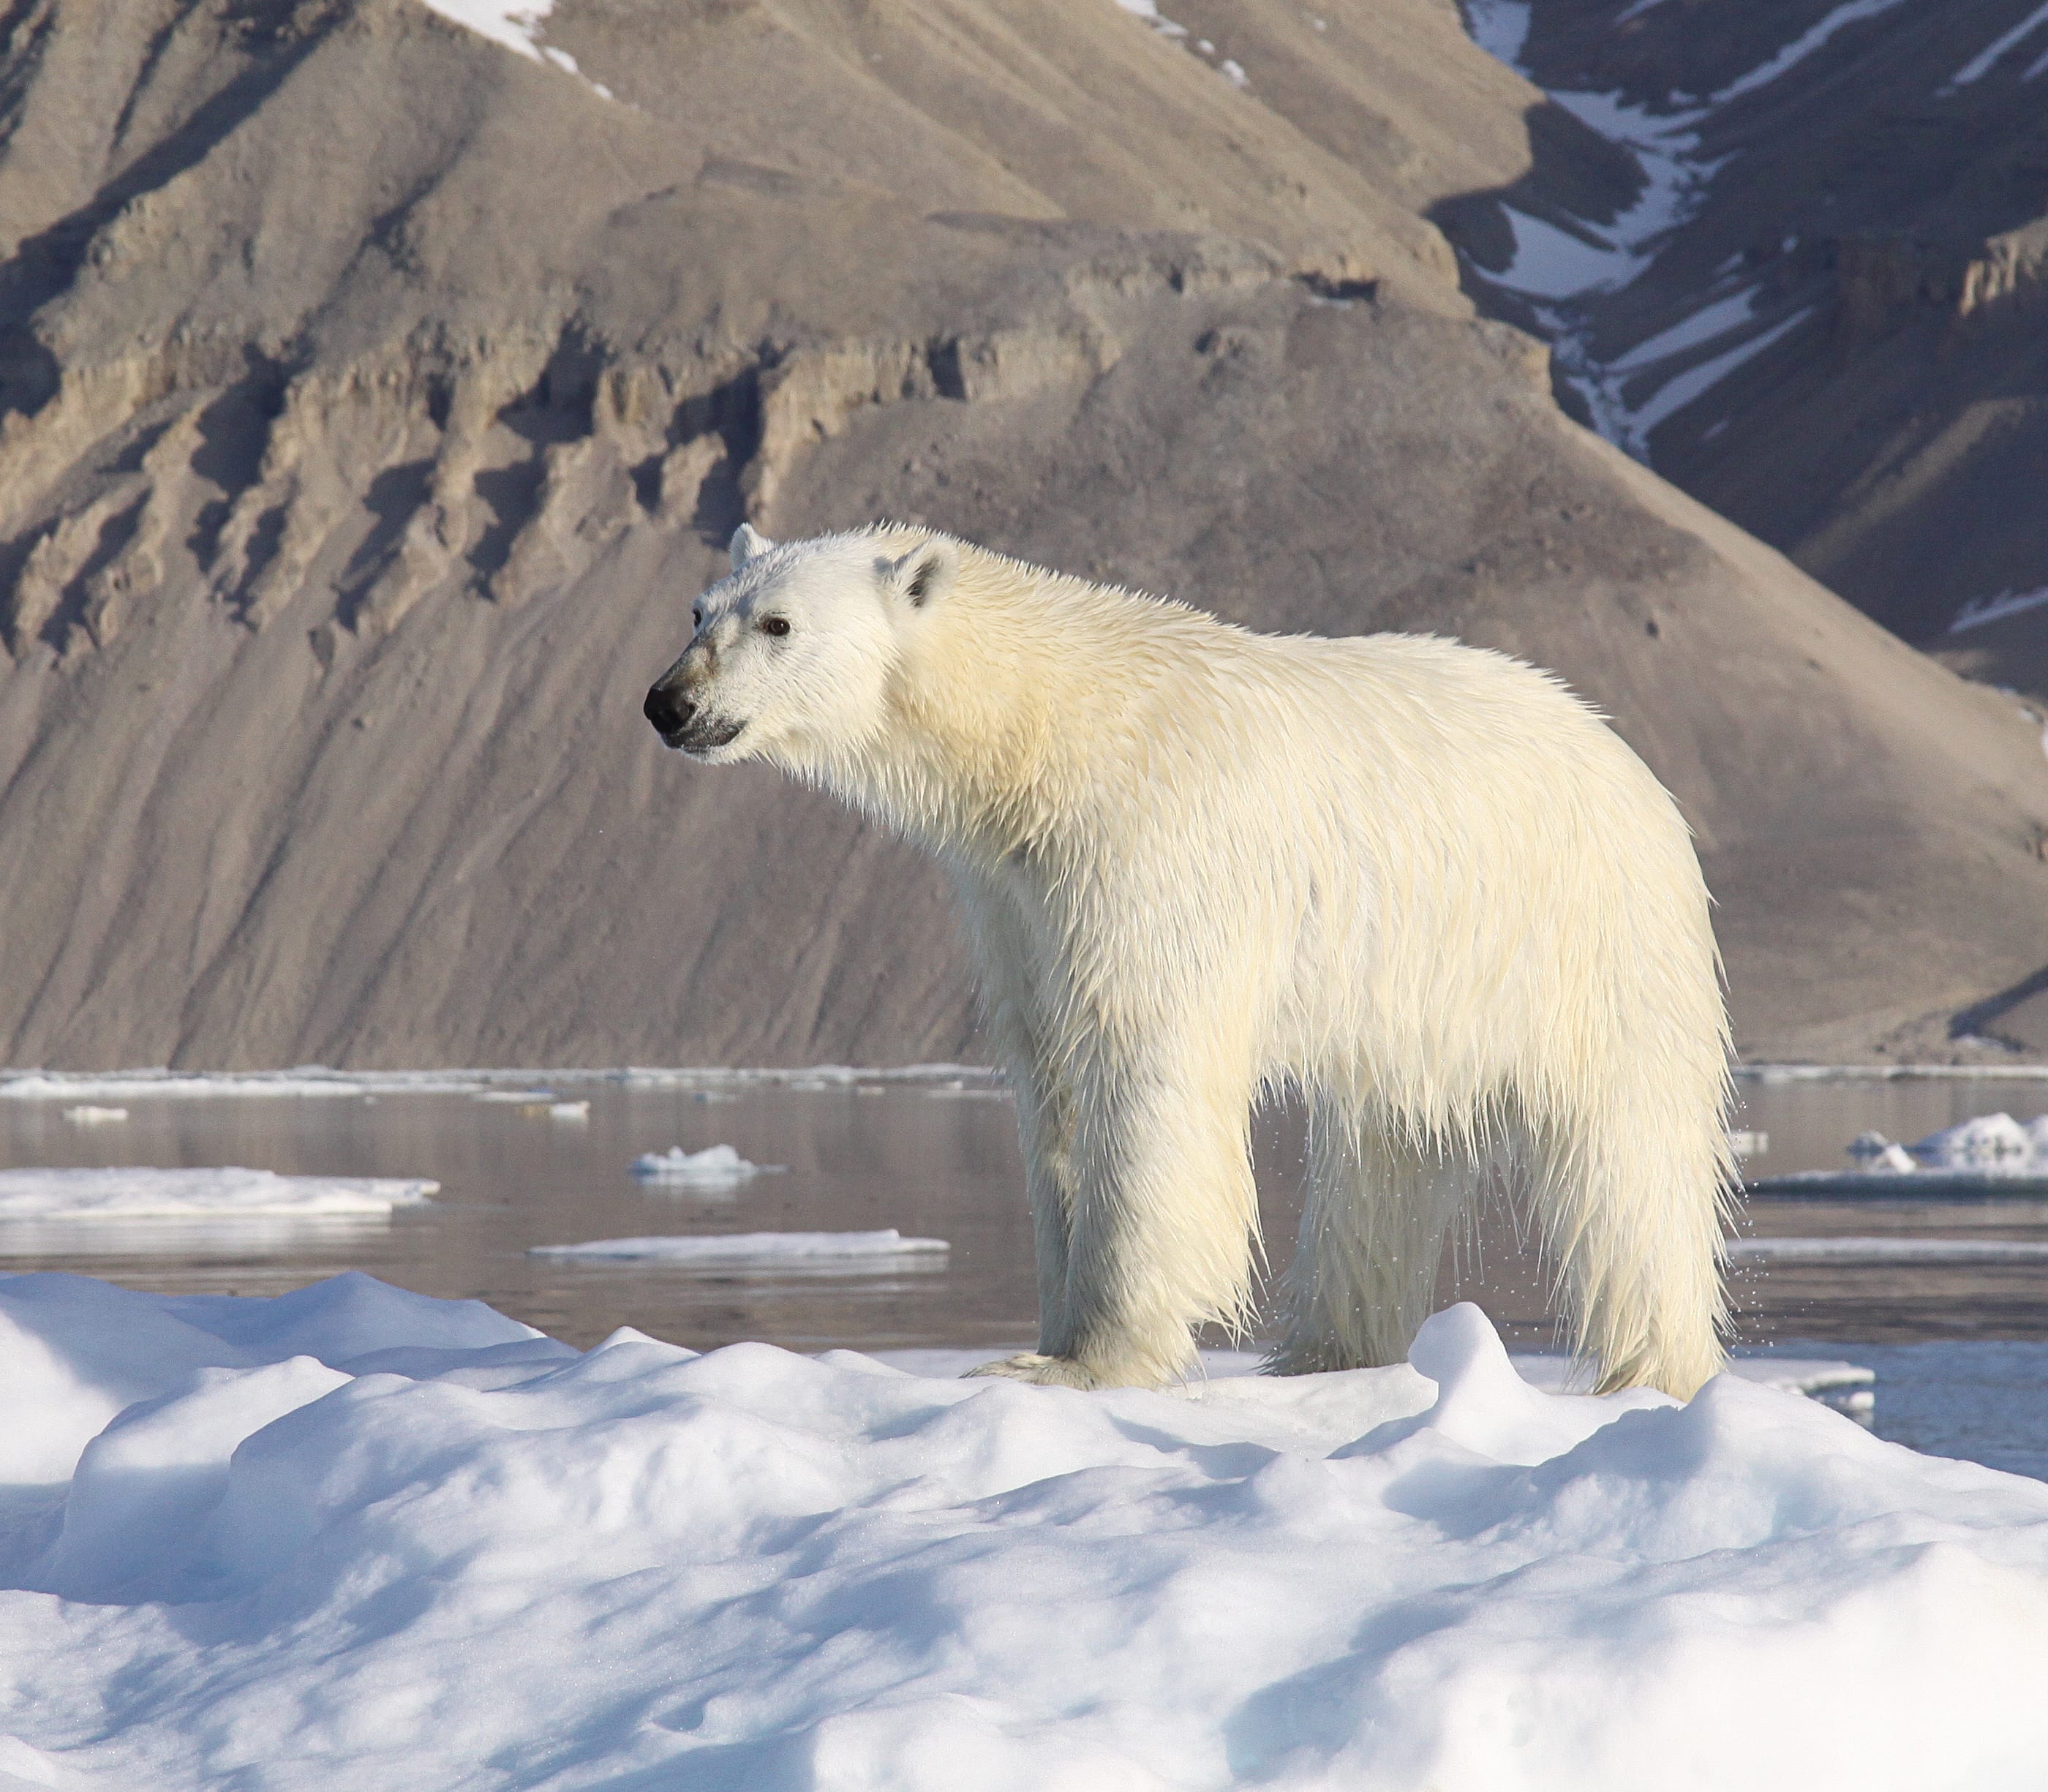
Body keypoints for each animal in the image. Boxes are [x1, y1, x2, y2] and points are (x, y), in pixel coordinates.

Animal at [644, 522, 1736, 1398]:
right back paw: (1325, 1354)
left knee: (1629, 1156)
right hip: (1424, 987)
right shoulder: (1015, 899)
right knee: (1383, 1156)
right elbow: (1053, 1087)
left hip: (1588, 932)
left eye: (777, 623)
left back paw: (1656, 1367)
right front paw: (1046, 1335)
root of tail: (1624, 756)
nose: (668, 701)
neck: (1050, 733)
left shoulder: (1149, 856)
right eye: (699, 609)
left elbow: (1145, 1081)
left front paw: (1086, 1361)